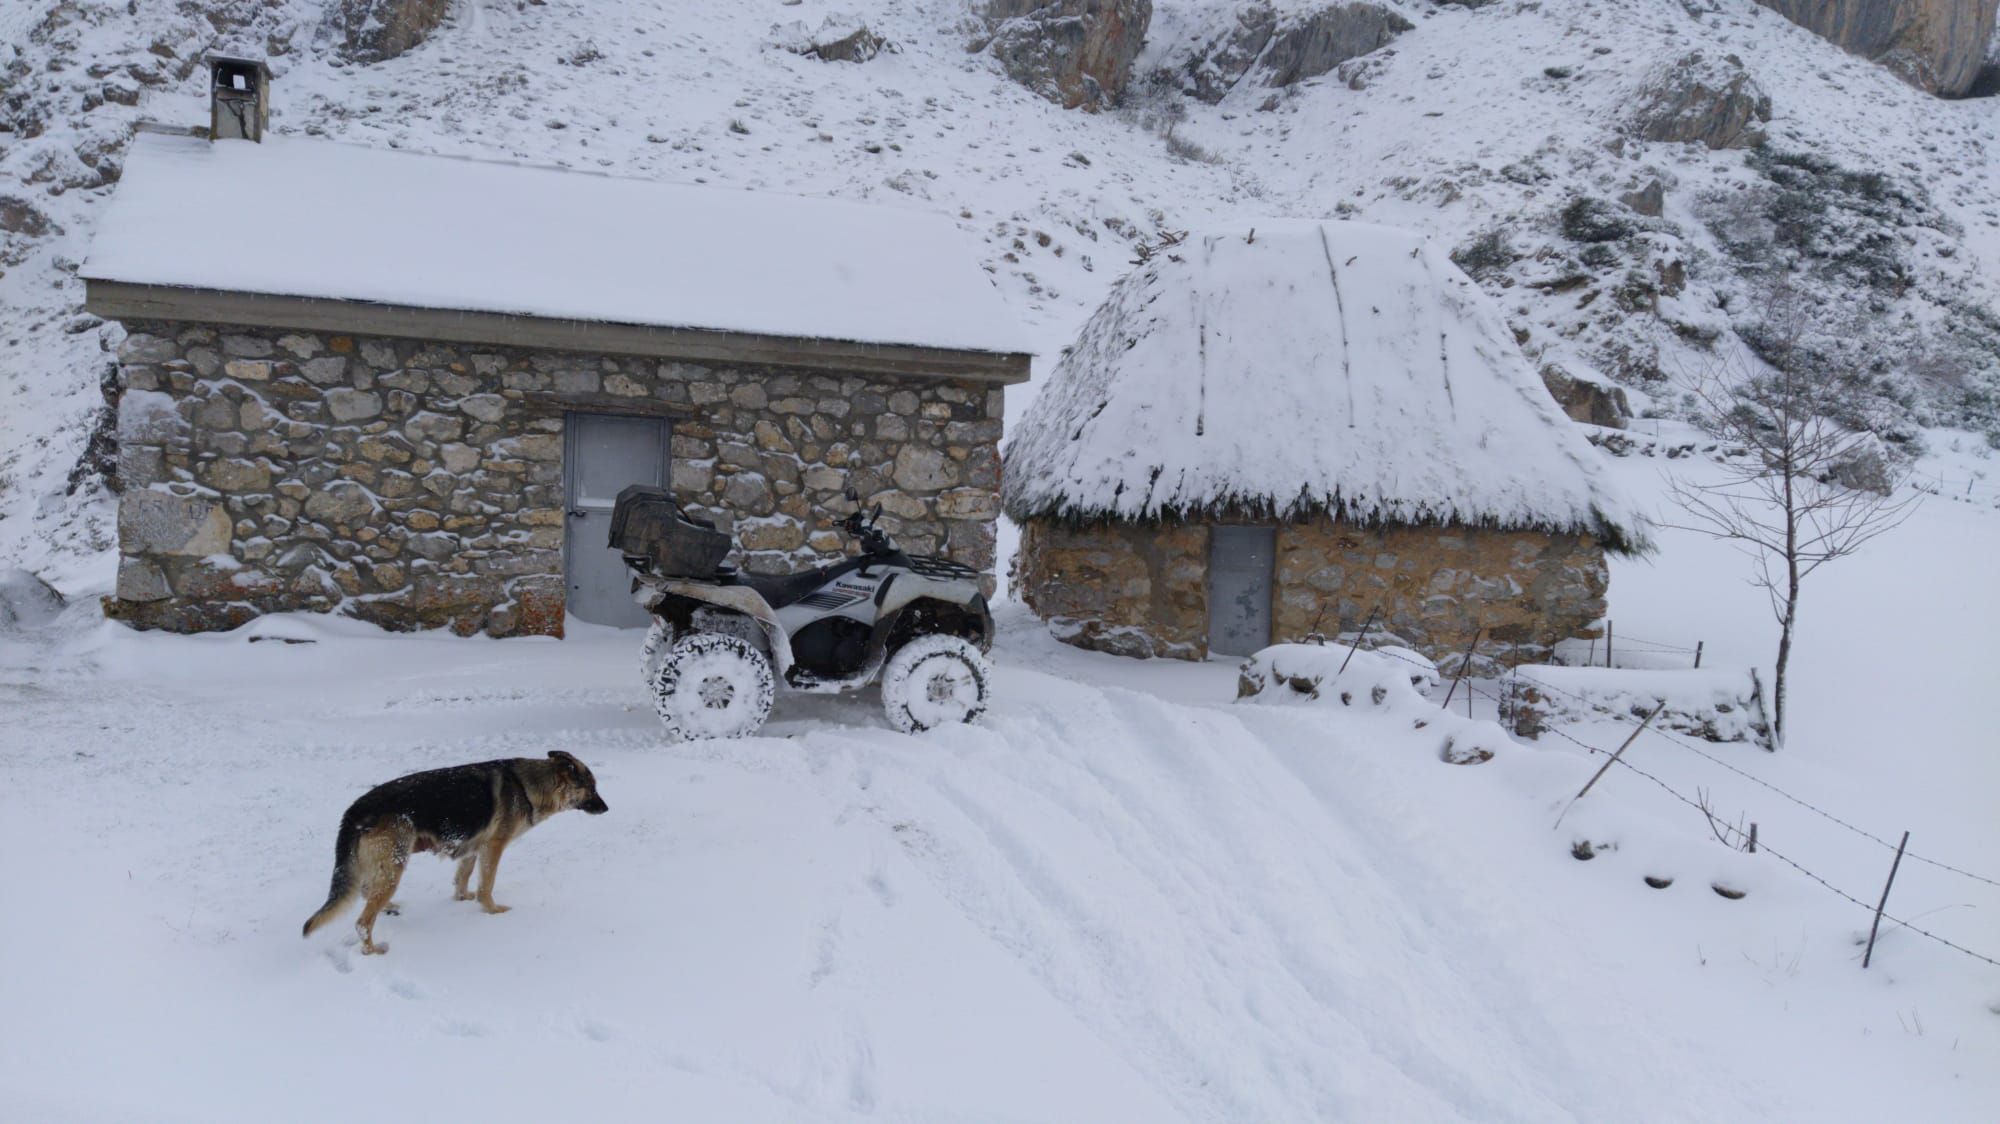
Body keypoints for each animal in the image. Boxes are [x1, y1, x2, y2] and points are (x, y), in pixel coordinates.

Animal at [300, 748, 604, 948]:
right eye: (591, 787)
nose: (607, 808)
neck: (529, 785)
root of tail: (356, 808)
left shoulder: (472, 847)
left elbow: (463, 877)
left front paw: (462, 898)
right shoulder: (493, 847)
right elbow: (486, 884)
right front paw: (492, 911)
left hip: (381, 867)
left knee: (366, 891)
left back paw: (390, 908)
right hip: (394, 866)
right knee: (362, 922)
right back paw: (373, 951)